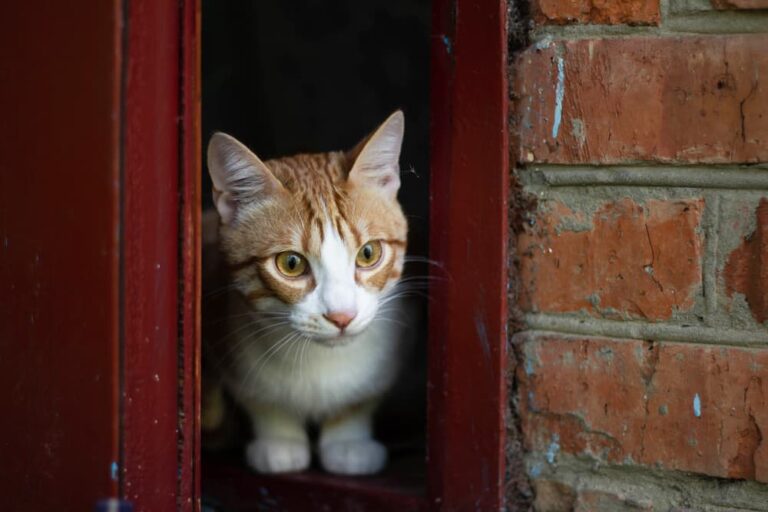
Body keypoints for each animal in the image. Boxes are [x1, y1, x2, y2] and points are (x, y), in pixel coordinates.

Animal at [201, 111, 412, 476]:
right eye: (291, 263)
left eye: (368, 254)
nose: (342, 317)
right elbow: (261, 400)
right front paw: (280, 440)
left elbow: (361, 398)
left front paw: (347, 440)